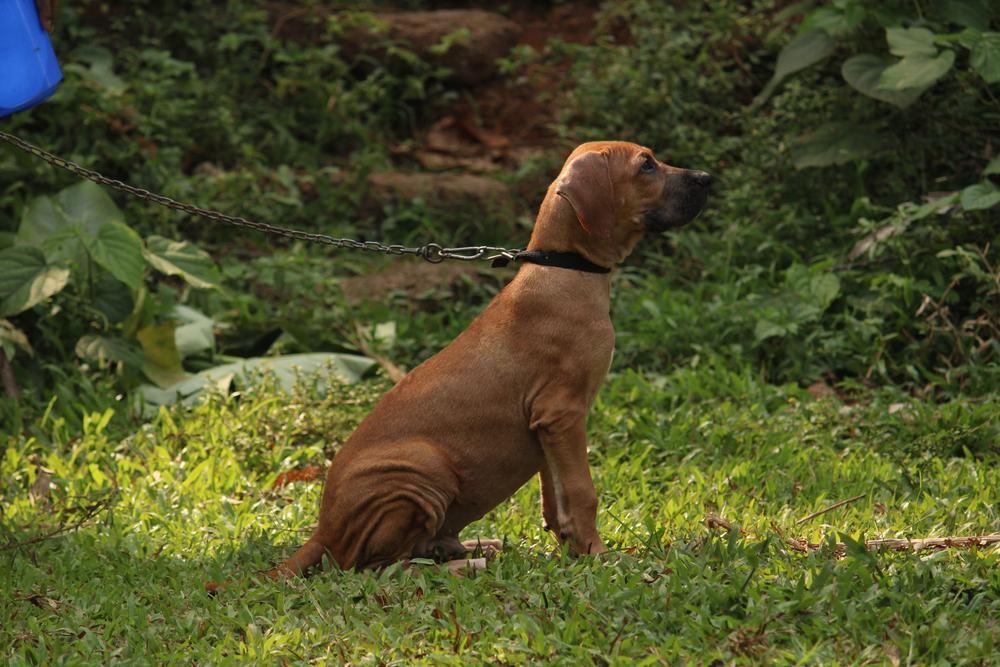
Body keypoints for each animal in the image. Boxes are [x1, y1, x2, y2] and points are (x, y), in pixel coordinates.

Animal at [270, 140, 708, 576]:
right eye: (646, 165)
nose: (707, 178)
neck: (564, 266)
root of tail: (324, 532)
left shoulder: (546, 424)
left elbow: (556, 496)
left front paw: (573, 549)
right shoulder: (563, 412)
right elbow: (582, 491)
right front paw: (601, 557)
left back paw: (473, 547)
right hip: (422, 468)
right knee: (382, 568)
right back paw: (467, 564)